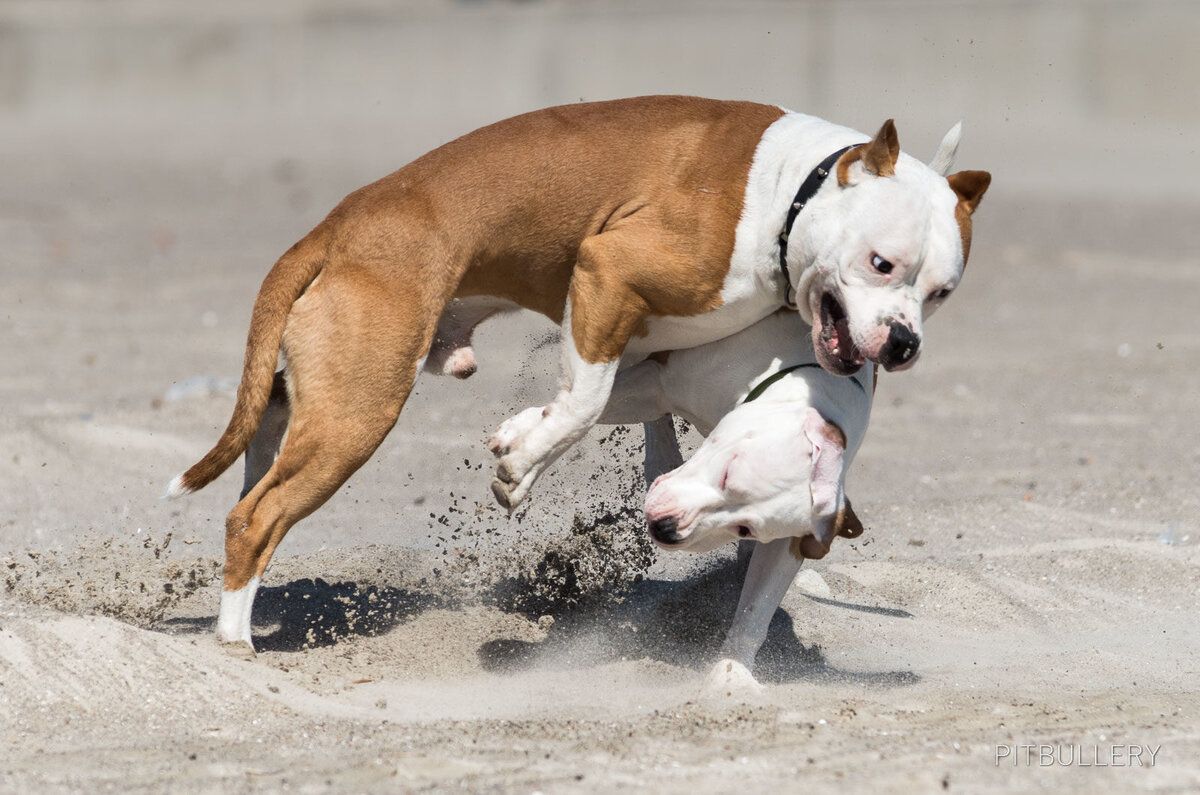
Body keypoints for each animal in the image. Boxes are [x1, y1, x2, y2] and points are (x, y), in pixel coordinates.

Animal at [171, 96, 993, 653]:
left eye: (941, 292)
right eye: (881, 263)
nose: (902, 343)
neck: (792, 194)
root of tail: (336, 227)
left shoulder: (641, 339)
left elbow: (601, 411)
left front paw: (525, 456)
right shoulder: (607, 273)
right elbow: (585, 401)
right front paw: (521, 461)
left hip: (309, 400)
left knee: (259, 460)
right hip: (359, 411)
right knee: (256, 518)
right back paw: (236, 644)